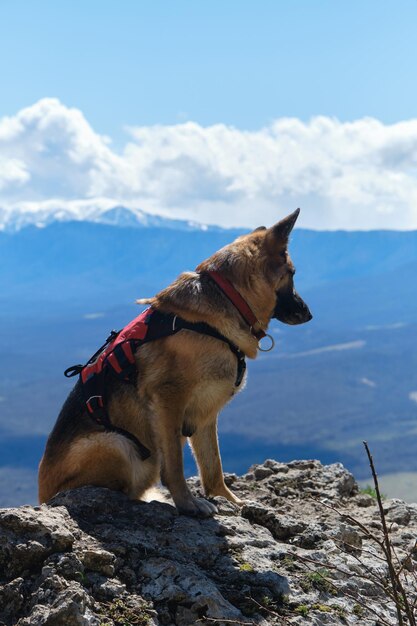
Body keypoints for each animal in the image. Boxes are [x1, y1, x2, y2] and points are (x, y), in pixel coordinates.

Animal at [39, 207, 310, 516]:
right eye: (292, 274)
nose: (309, 313)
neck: (227, 300)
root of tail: (42, 496)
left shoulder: (206, 413)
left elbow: (212, 466)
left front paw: (232, 501)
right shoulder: (169, 401)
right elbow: (175, 466)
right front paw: (187, 503)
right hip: (117, 443)